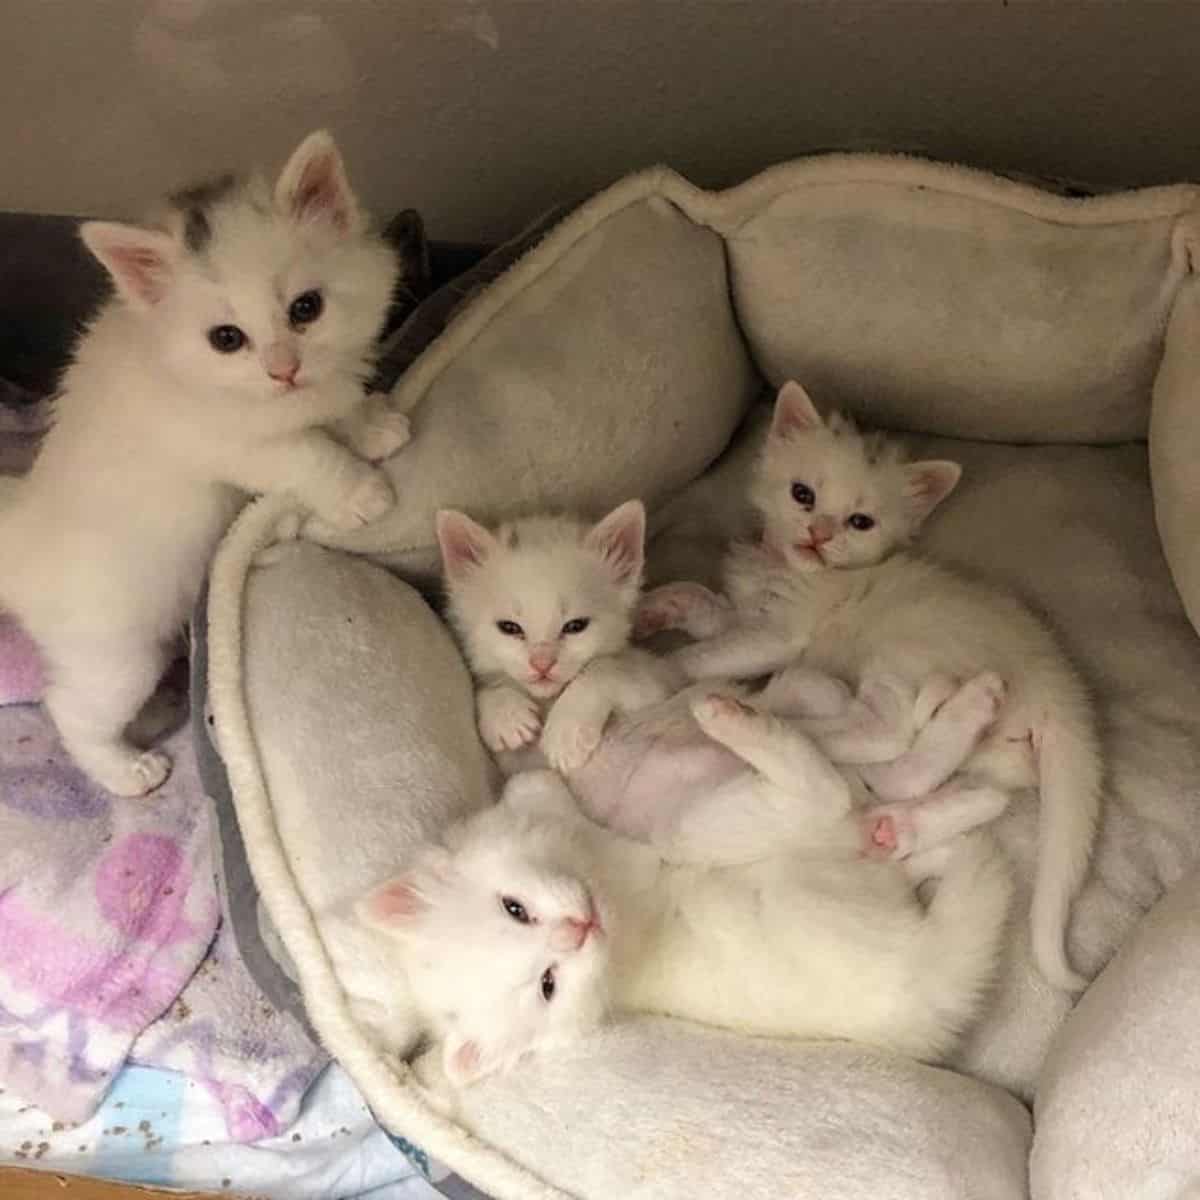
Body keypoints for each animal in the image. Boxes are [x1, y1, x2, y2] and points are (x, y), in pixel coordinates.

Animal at [0, 129, 408, 796]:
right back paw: (127, 770)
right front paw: (360, 492)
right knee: (70, 708)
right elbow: (307, 450)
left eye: (306, 308)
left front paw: (373, 425)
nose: (283, 369)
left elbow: (330, 411)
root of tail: (20, 528)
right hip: (117, 651)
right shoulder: (223, 441)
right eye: (226, 339)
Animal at [357, 696, 1012, 1089]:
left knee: (874, 779)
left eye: (513, 909)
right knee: (853, 797)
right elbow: (819, 790)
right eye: (549, 984)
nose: (579, 929)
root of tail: (926, 995)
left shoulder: (536, 797)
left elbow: (538, 783)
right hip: (799, 871)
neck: (602, 872)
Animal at [439, 499, 686, 772]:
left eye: (575, 626)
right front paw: (504, 712)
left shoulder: (658, 684)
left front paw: (567, 730)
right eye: (509, 627)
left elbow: (605, 667)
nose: (542, 664)